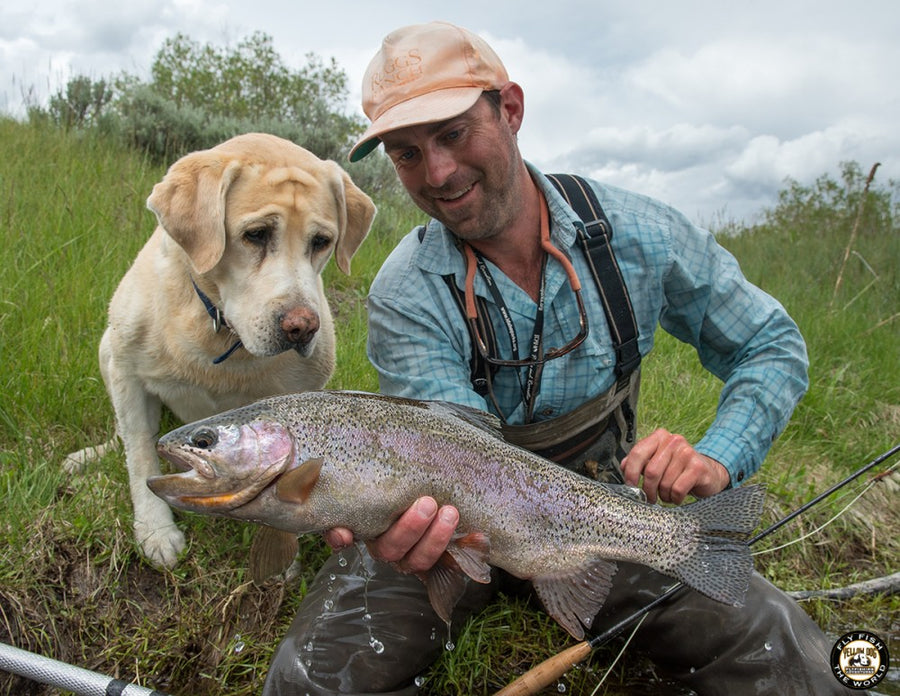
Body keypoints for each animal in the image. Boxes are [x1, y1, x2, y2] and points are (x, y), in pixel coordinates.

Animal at [65, 133, 376, 568]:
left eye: (322, 242)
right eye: (256, 234)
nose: (302, 326)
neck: (223, 336)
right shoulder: (127, 371)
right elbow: (140, 452)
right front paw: (156, 531)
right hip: (106, 350)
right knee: (122, 435)